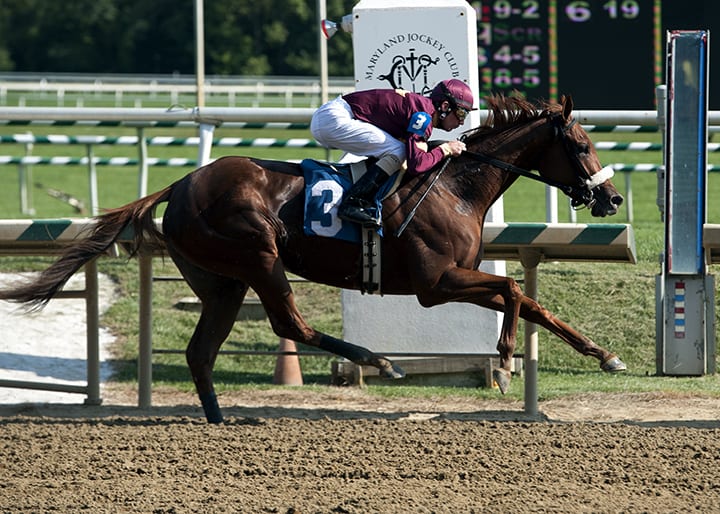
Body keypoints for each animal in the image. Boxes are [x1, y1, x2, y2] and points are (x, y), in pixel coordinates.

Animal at [0, 95, 624, 420]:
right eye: (583, 146)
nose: (613, 198)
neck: (455, 185)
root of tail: (179, 185)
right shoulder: (435, 281)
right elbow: (514, 291)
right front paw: (506, 357)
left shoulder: (451, 277)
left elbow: (533, 303)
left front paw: (605, 355)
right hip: (258, 254)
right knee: (288, 323)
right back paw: (379, 361)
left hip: (222, 281)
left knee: (203, 350)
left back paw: (220, 418)